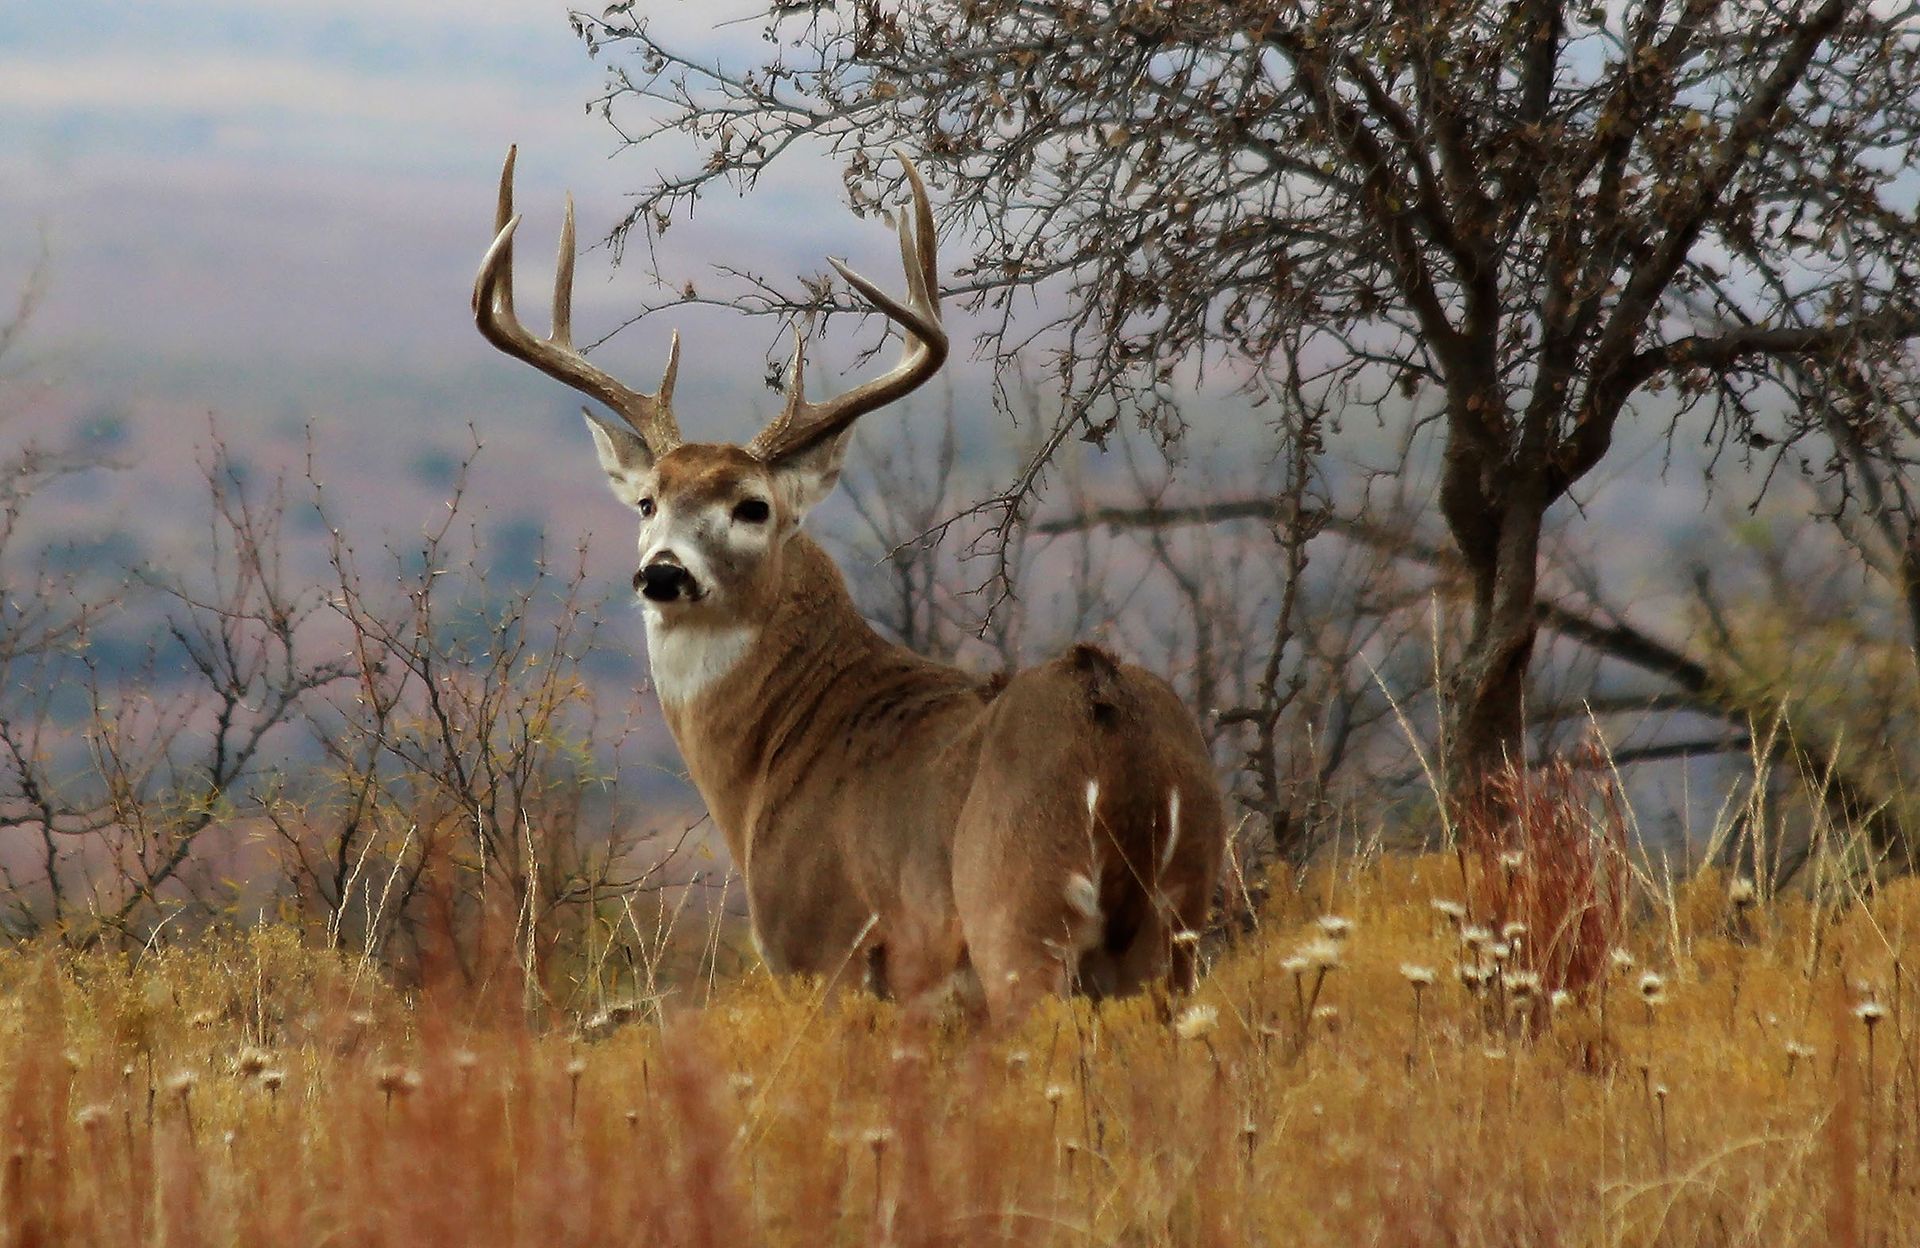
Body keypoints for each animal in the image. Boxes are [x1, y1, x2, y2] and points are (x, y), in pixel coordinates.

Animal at [472, 146, 1224, 1024]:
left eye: (753, 506)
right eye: (649, 500)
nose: (662, 572)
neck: (773, 753)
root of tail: (1108, 709)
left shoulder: (822, 946)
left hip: (1019, 908)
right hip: (1177, 924)